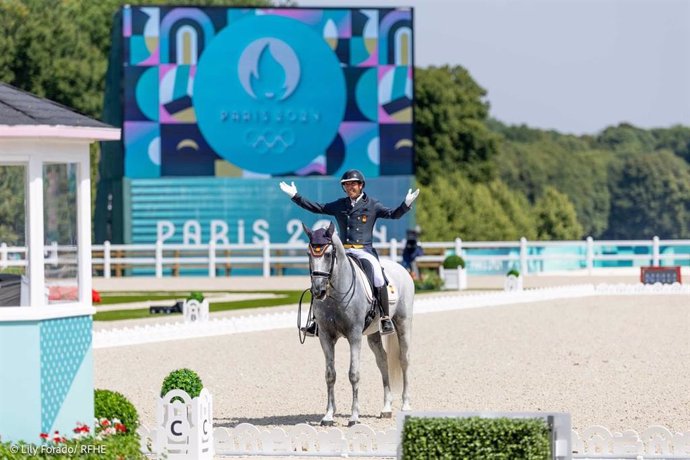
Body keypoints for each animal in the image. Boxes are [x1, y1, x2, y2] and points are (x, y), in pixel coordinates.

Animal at [302, 221, 412, 426]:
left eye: (328, 254)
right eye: (308, 253)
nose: (318, 291)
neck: (336, 294)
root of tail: (400, 268)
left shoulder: (354, 336)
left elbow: (354, 374)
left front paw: (354, 416)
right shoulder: (326, 336)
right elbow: (330, 375)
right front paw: (328, 415)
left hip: (404, 324)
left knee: (404, 359)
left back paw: (406, 405)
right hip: (373, 333)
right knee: (383, 360)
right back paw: (386, 408)